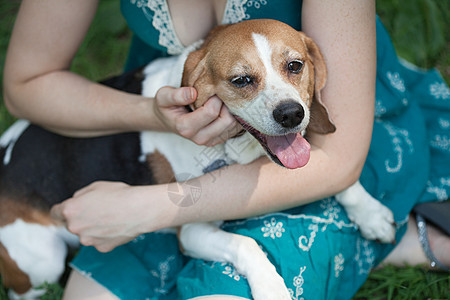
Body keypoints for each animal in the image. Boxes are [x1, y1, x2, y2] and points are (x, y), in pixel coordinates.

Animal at [0, 19, 394, 300]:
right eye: (241, 80)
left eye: (295, 65)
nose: (290, 115)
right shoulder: (192, 230)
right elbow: (246, 243)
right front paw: (271, 288)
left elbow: (342, 179)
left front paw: (370, 213)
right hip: (44, 260)